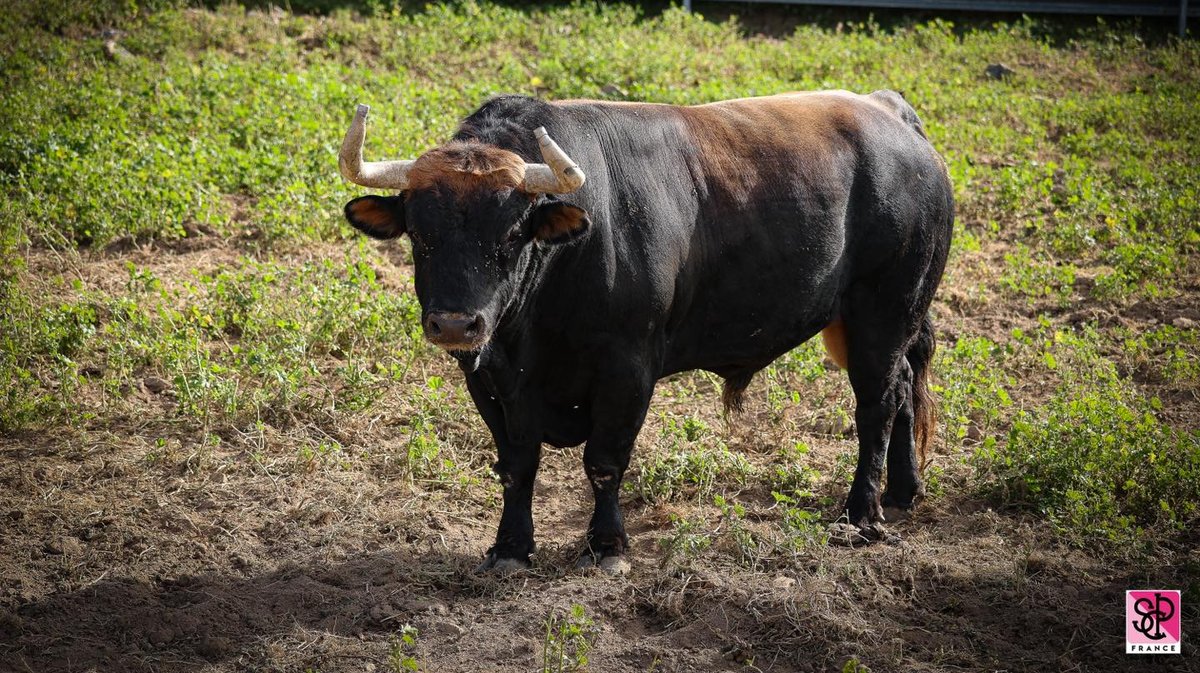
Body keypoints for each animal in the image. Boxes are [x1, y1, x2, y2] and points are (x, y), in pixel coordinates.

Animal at [343, 90, 950, 571]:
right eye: (420, 232)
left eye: (513, 233)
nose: (454, 323)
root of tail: (888, 111)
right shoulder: (490, 379)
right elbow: (517, 465)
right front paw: (511, 547)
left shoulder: (628, 370)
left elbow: (604, 461)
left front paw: (607, 546)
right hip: (879, 320)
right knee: (904, 386)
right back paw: (903, 490)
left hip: (883, 312)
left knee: (877, 403)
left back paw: (860, 514)